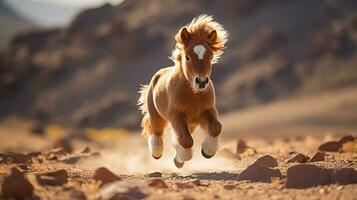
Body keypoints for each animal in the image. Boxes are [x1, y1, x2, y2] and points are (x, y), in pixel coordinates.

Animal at [138, 14, 227, 168]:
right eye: (187, 57)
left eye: (210, 57)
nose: (201, 82)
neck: (193, 95)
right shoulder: (176, 116)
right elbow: (186, 141)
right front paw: (183, 157)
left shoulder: (208, 111)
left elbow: (216, 128)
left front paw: (207, 152)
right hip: (157, 116)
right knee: (157, 133)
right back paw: (156, 153)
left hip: (192, 124)